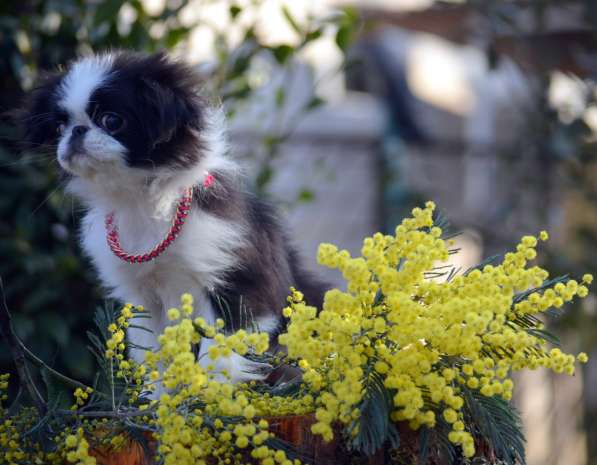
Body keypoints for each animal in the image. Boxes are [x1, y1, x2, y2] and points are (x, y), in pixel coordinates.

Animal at [22, 50, 326, 382]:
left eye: (111, 120)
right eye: (59, 128)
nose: (76, 131)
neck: (140, 202)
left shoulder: (239, 282)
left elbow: (217, 354)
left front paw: (209, 391)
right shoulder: (143, 301)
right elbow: (151, 359)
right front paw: (154, 396)